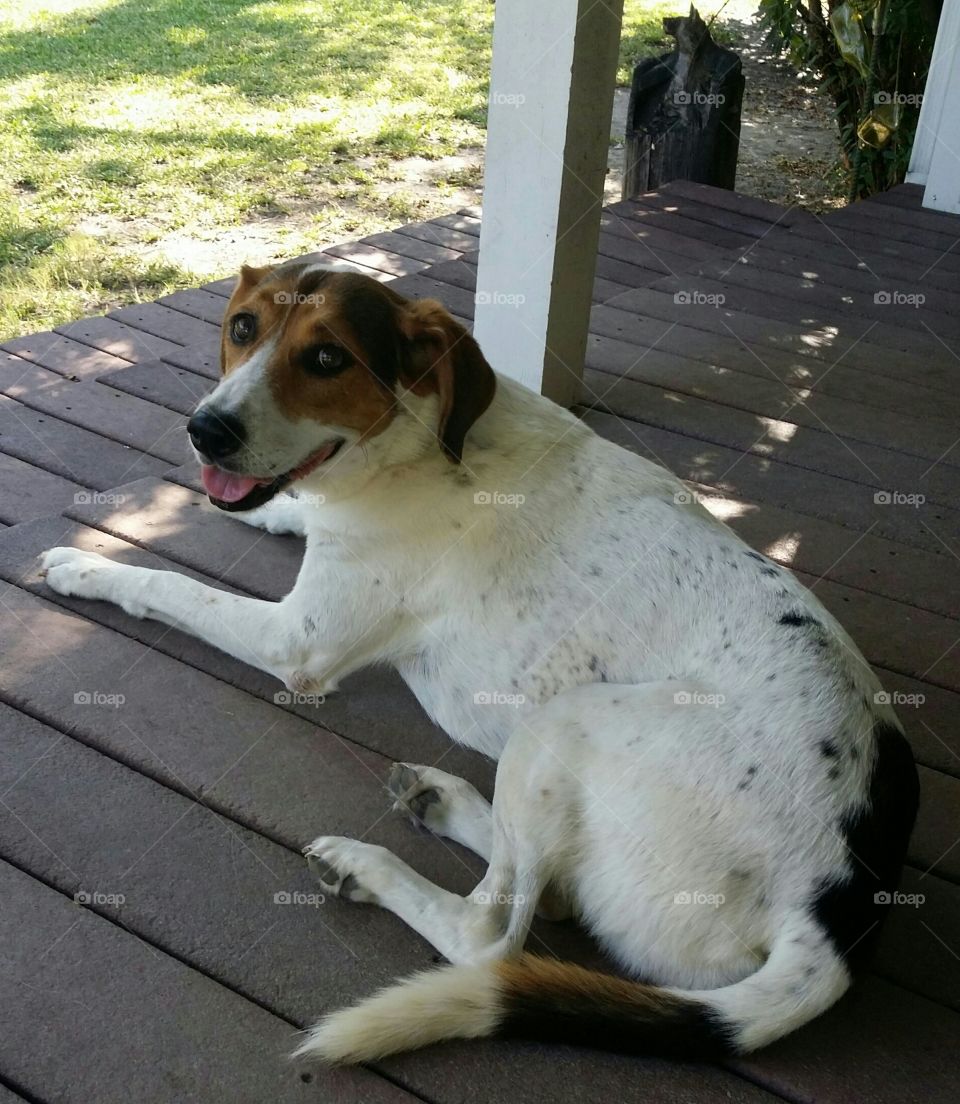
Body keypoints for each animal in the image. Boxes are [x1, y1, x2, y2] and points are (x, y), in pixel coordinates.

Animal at [39, 258, 922, 1059]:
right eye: (243, 327)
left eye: (326, 359)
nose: (206, 431)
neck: (421, 439)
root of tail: (834, 913)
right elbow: (285, 511)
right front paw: (250, 512)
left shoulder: (299, 640)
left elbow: (167, 583)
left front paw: (87, 567)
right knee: (537, 885)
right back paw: (443, 800)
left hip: (563, 722)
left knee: (492, 933)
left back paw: (370, 866)